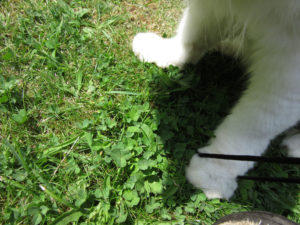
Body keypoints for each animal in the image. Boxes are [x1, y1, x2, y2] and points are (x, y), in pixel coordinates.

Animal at [132, 0, 300, 200]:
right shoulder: (215, 9)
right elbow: (193, 33)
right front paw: (164, 52)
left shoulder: (288, 65)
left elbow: (255, 124)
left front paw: (214, 171)